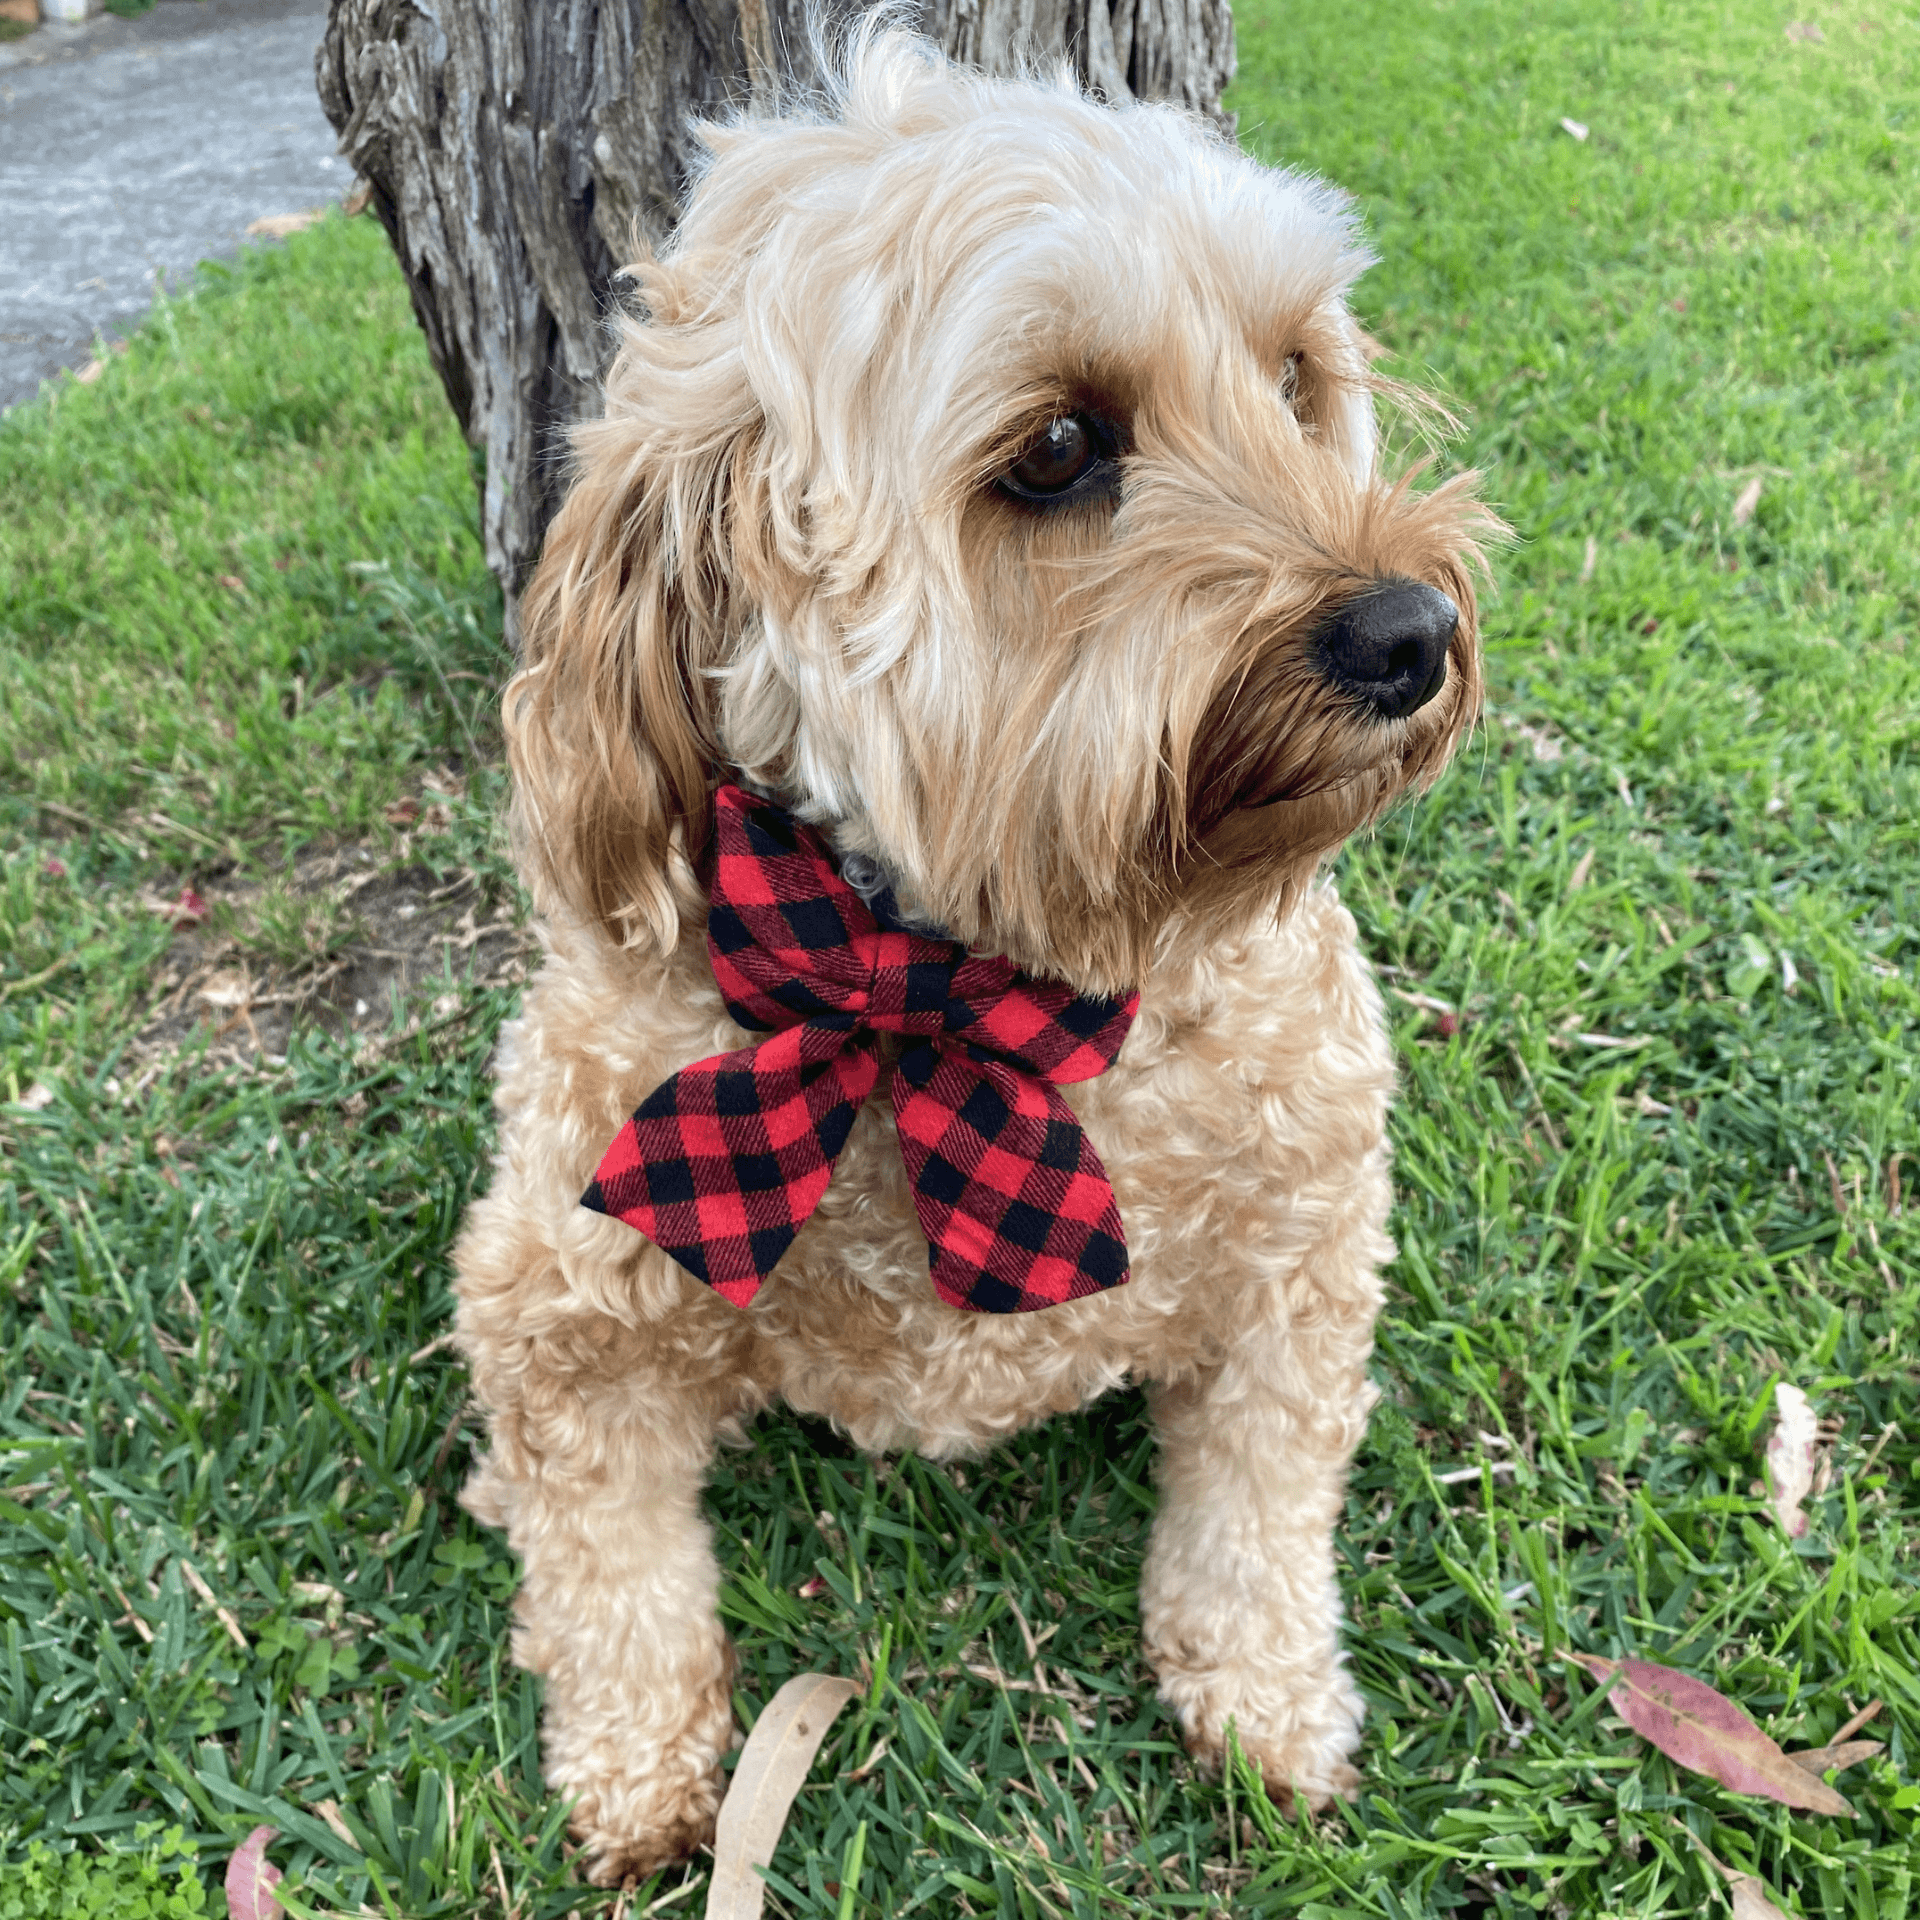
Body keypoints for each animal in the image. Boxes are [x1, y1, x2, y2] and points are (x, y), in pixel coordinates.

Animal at [445, 22, 1482, 1881]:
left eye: (1295, 378)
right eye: (1061, 445)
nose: (1412, 631)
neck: (962, 992)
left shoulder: (1306, 1248)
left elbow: (1260, 1510)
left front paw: (1271, 1705)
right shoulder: (549, 1298)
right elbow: (605, 1564)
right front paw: (637, 1773)